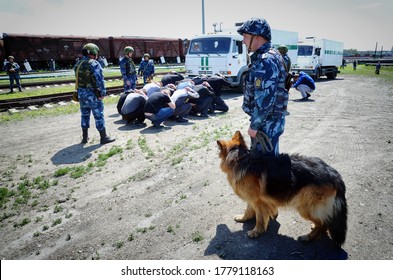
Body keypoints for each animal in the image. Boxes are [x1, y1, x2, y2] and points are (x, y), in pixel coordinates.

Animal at [216, 130, 348, 246]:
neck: (240, 159)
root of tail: (335, 175)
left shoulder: (258, 202)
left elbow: (259, 218)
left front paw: (256, 231)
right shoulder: (253, 199)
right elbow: (248, 209)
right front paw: (244, 218)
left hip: (305, 206)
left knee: (322, 222)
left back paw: (308, 237)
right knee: (324, 221)